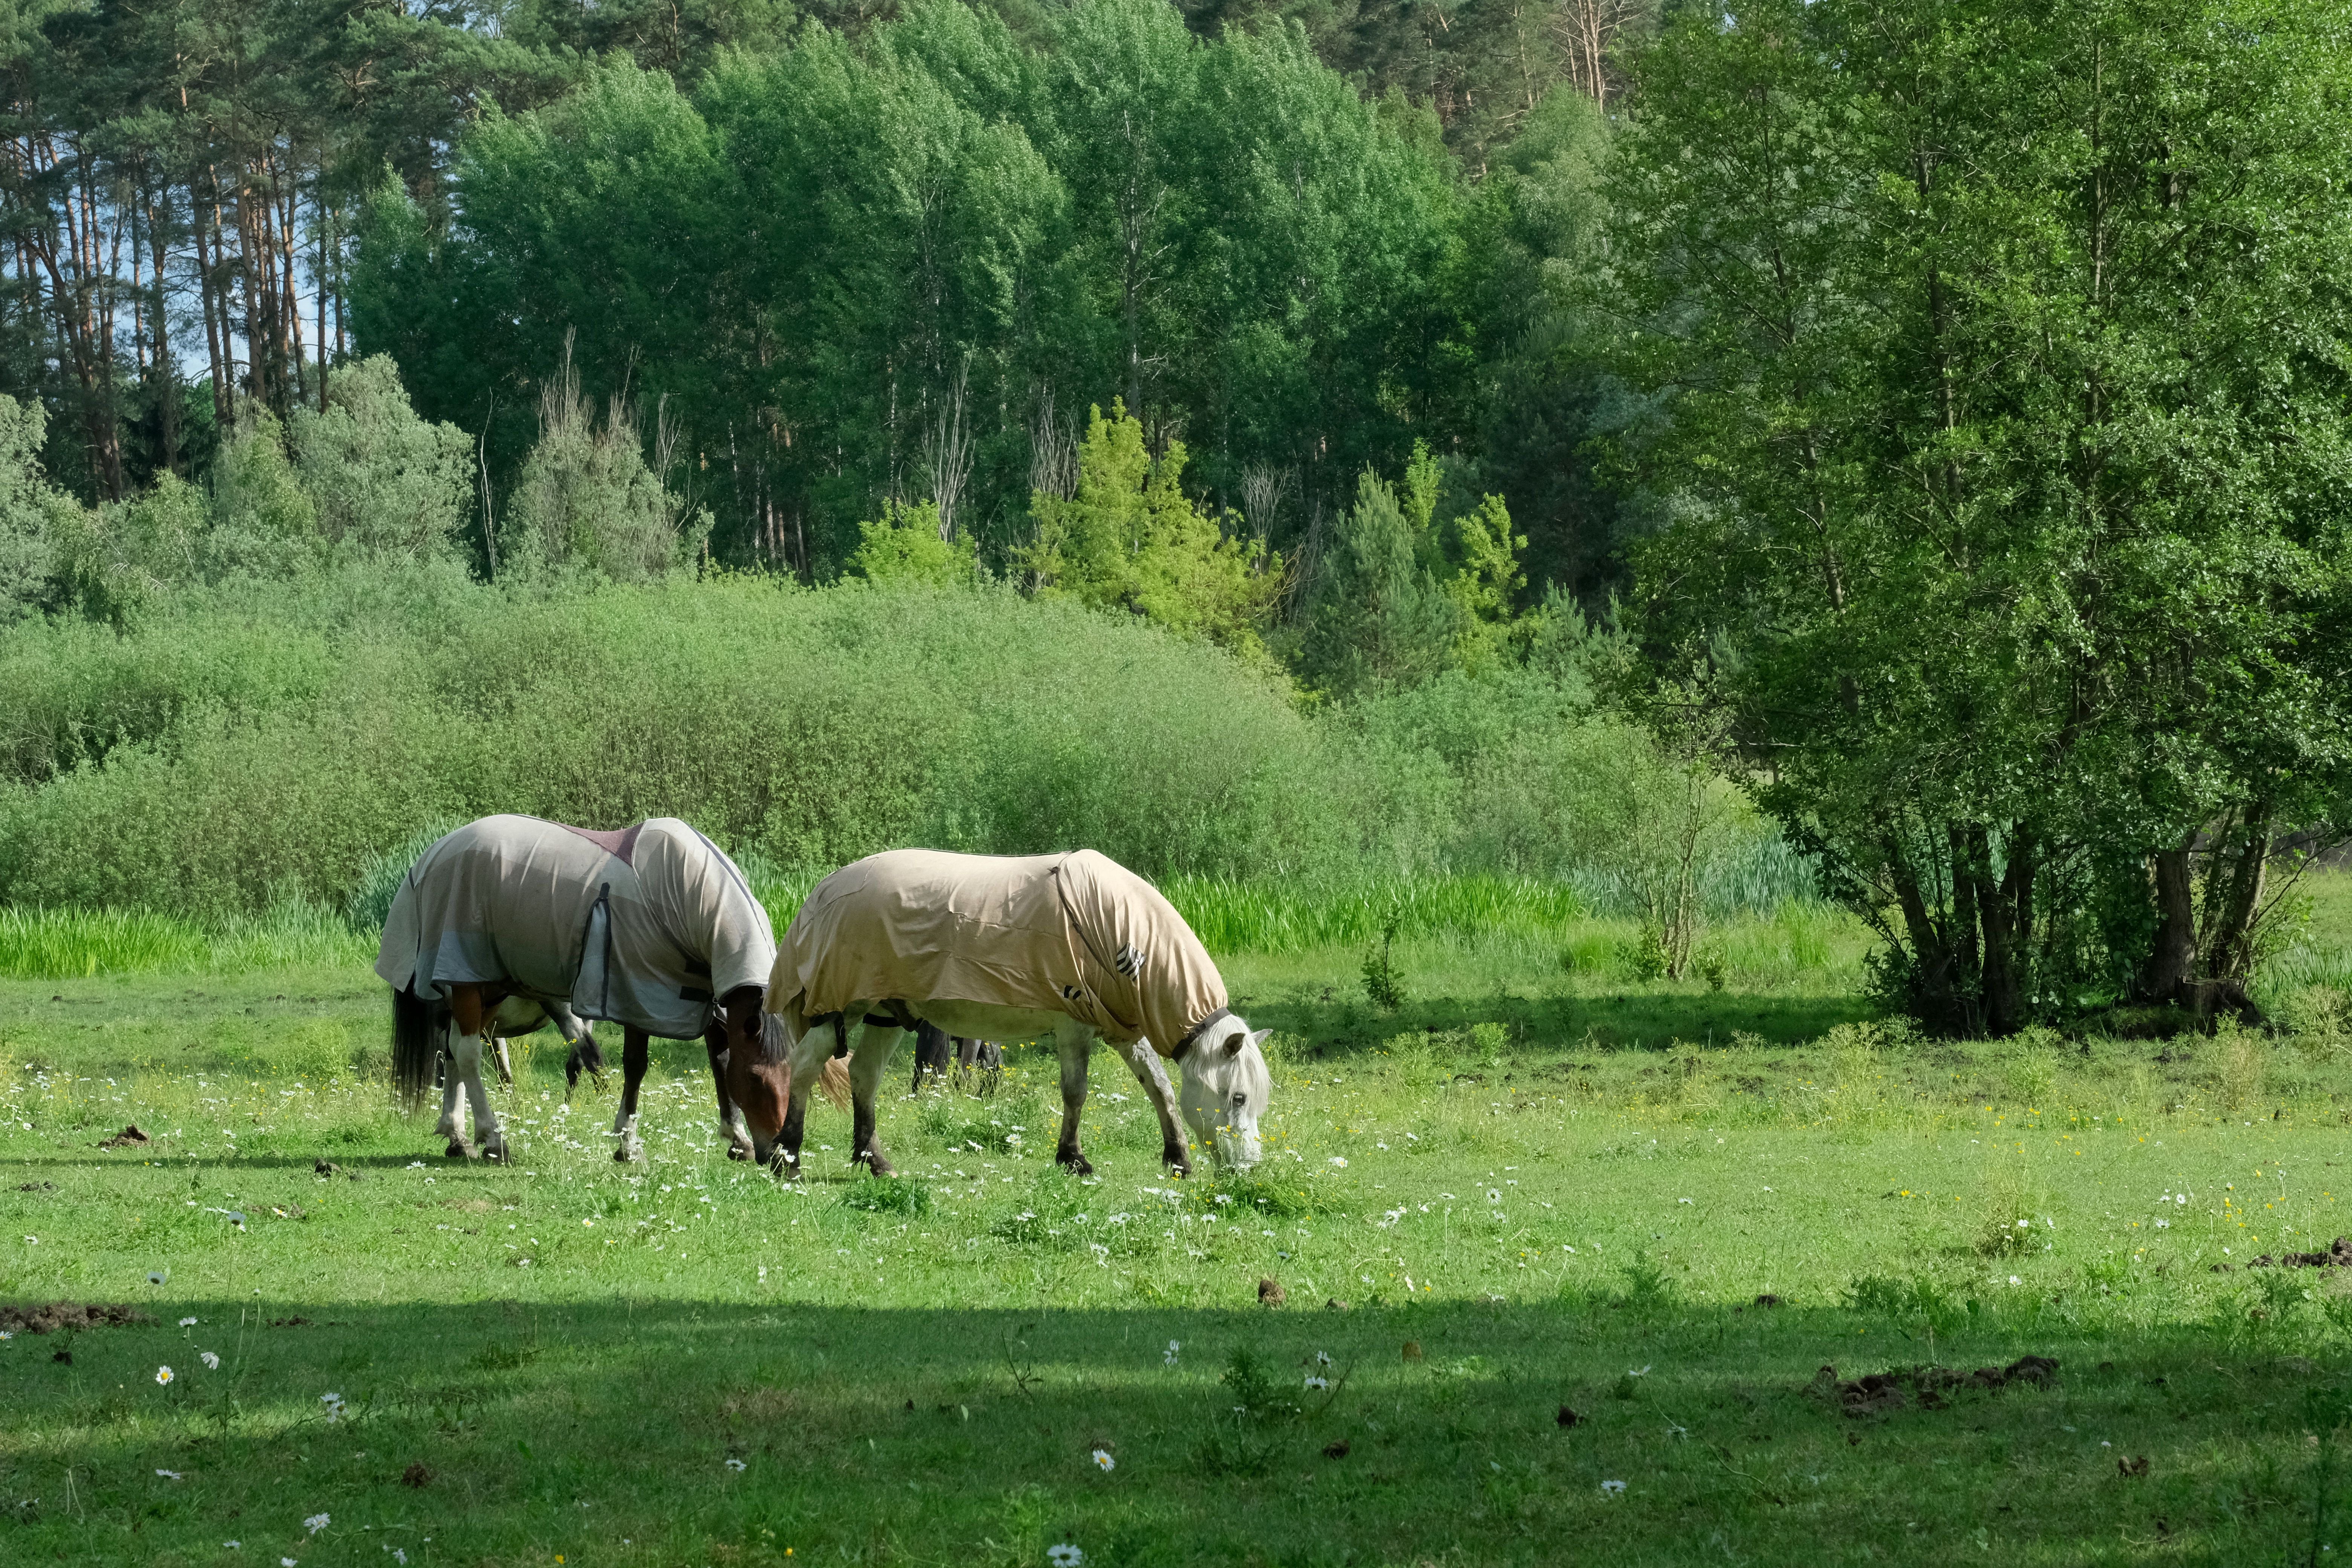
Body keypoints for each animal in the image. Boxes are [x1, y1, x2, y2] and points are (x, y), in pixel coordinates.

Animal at [377, 814, 839, 1162]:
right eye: (758, 1079)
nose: (782, 1159)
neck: (685, 894)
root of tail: (430, 856)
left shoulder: (703, 993)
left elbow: (719, 1059)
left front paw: (736, 1137)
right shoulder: (640, 991)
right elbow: (635, 1066)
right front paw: (627, 1145)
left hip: (488, 986)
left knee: (456, 1049)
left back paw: (457, 1136)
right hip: (467, 979)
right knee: (469, 1054)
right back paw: (493, 1138)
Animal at [752, 848, 1273, 1180]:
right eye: (1239, 1096)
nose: (1248, 1168)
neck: (1115, 930)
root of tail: (824, 890)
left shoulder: (1121, 1028)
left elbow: (1158, 1086)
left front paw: (1178, 1158)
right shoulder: (1074, 1025)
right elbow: (1076, 1092)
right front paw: (1073, 1158)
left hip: (887, 1012)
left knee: (864, 1074)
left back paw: (874, 1160)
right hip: (842, 1007)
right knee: (805, 1066)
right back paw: (788, 1157)